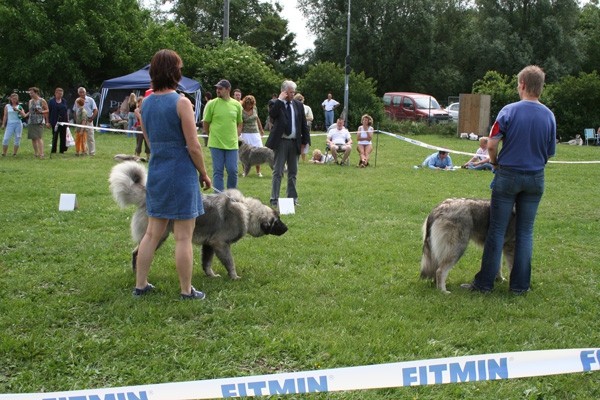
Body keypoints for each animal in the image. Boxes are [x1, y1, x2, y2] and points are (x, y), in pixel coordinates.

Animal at [110, 161, 288, 280]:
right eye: (277, 222)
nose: (287, 228)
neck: (248, 210)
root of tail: (146, 196)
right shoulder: (220, 244)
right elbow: (230, 262)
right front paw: (234, 277)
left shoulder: (209, 244)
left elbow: (206, 263)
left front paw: (211, 275)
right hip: (159, 236)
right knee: (137, 253)